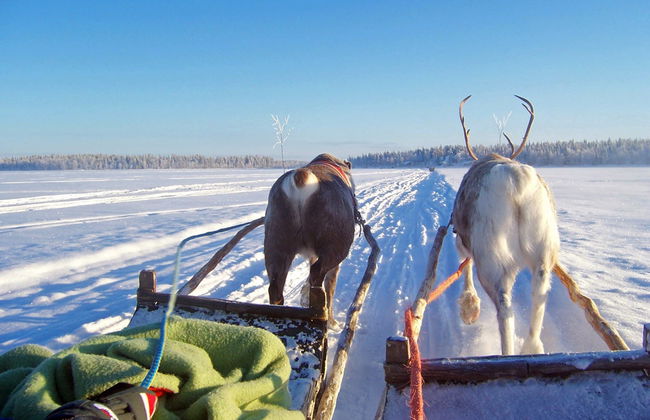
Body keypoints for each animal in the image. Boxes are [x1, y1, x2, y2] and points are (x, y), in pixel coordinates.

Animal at [264, 153, 358, 326]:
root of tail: (302, 178)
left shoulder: (312, 254)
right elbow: (330, 286)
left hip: (276, 246)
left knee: (275, 287)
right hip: (336, 247)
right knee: (316, 277)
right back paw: (325, 315)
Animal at [452, 95, 560, 355]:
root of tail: (517, 183)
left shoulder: (462, 241)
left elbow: (465, 265)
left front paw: (469, 310)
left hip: (493, 260)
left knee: (504, 309)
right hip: (544, 251)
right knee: (539, 294)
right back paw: (531, 348)